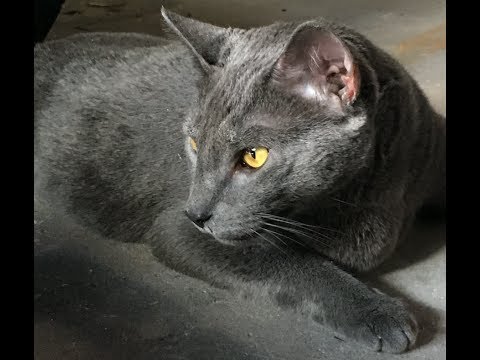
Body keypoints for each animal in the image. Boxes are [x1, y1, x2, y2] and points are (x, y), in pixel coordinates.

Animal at [33, 8, 446, 354]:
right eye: (194, 143)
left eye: (254, 156)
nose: (196, 213)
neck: (368, 193)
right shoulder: (175, 229)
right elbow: (292, 264)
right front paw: (376, 312)